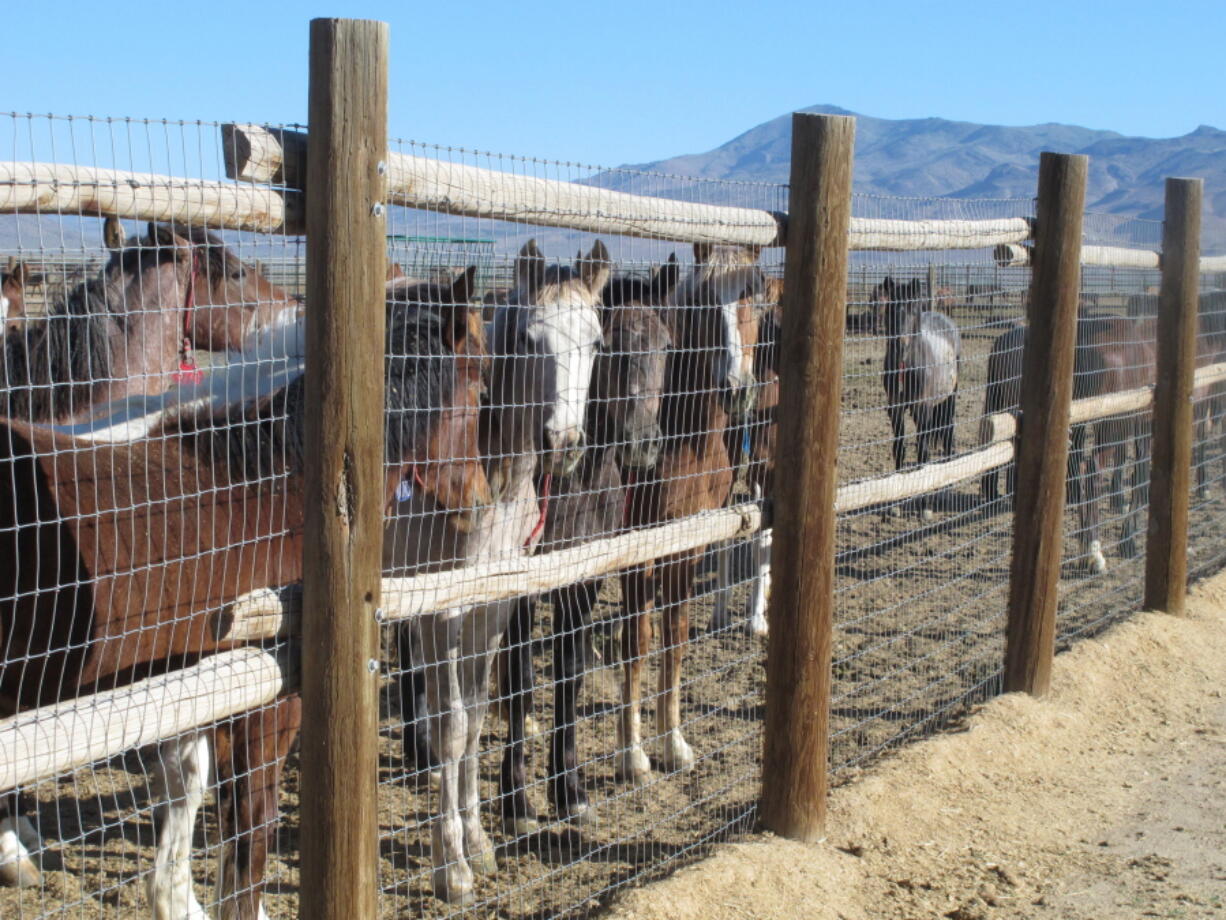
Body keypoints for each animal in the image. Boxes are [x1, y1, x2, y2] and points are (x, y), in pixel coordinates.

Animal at [387, 239, 608, 907]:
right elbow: (454, 724)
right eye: (532, 339)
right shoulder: (442, 607)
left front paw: (481, 842)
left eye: (596, 342)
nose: (564, 443)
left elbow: (482, 713)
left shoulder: (495, 601)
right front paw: (451, 868)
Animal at [492, 252, 676, 834]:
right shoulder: (519, 587)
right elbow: (521, 678)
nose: (644, 444)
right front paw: (517, 801)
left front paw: (569, 791)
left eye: (666, 343)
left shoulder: (584, 577)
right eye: (612, 346)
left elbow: (569, 675)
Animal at [617, 242, 760, 785]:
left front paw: (674, 743)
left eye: (755, 293)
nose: (737, 388)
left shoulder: (689, 541)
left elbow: (674, 638)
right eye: (702, 303)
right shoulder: (637, 548)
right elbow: (638, 640)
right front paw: (633, 755)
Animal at [877, 273, 961, 520]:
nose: (900, 345)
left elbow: (923, 452)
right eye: (890, 308)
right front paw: (895, 504)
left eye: (913, 309)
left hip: (949, 399)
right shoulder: (895, 409)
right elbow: (899, 449)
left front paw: (925, 507)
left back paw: (945, 491)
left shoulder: (922, 409)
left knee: (948, 437)